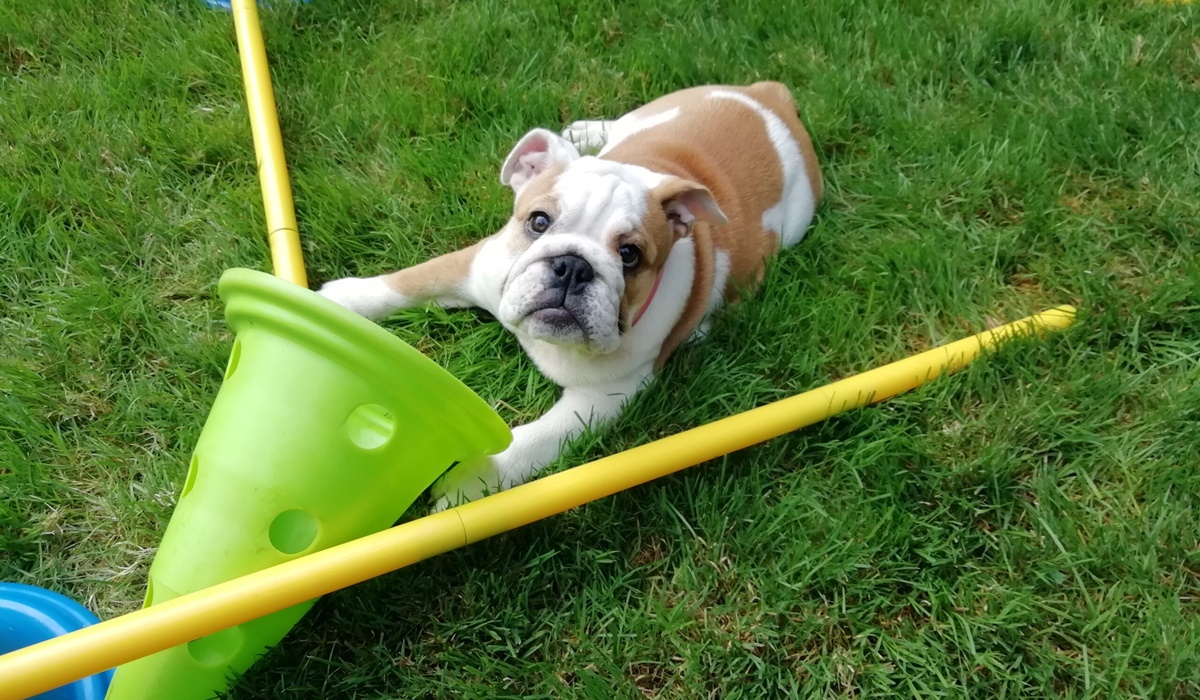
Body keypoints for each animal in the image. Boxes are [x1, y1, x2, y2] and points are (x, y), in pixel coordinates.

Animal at [319, 82, 825, 511]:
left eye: (630, 255)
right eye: (538, 222)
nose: (574, 266)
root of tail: (770, 99)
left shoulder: (602, 397)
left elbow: (533, 439)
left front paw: (474, 479)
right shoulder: (473, 265)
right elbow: (407, 282)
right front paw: (337, 303)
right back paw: (585, 132)